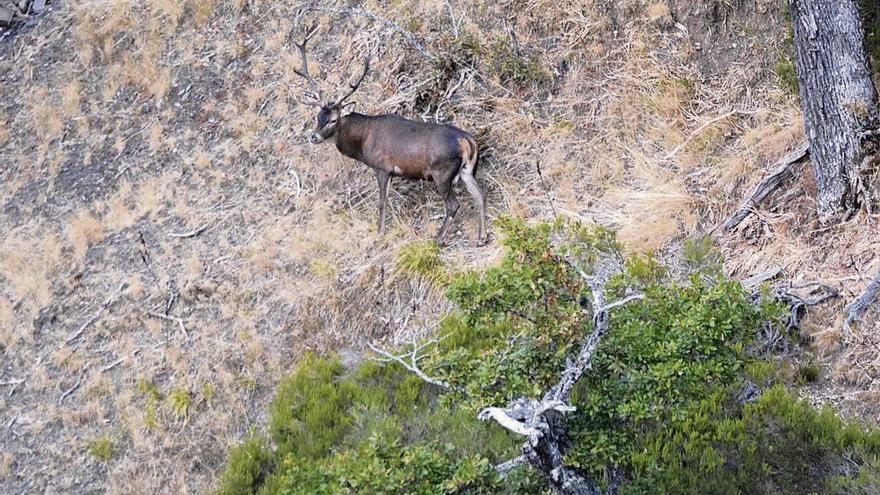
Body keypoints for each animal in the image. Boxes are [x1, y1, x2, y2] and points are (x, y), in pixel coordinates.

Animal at [294, 25, 488, 246]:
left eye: (333, 120)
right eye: (318, 116)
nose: (313, 137)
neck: (362, 144)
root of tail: (468, 141)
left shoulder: (382, 167)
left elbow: (382, 202)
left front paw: (380, 233)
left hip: (442, 171)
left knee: (453, 205)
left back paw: (438, 238)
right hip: (467, 170)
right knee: (480, 195)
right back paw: (482, 237)